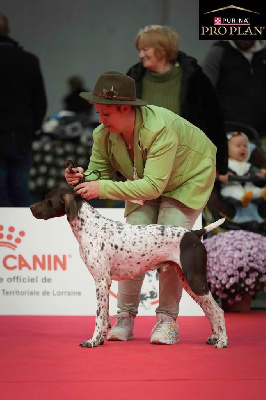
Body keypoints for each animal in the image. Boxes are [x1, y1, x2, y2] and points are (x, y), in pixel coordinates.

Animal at [30, 187, 228, 346]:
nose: (31, 208)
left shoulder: (100, 281)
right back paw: (214, 337)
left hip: (195, 280)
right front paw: (100, 340)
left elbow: (98, 317)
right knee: (209, 311)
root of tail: (194, 233)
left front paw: (92, 341)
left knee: (218, 311)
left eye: (48, 199)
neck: (90, 227)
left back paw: (222, 341)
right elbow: (104, 317)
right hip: (188, 282)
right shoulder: (106, 282)